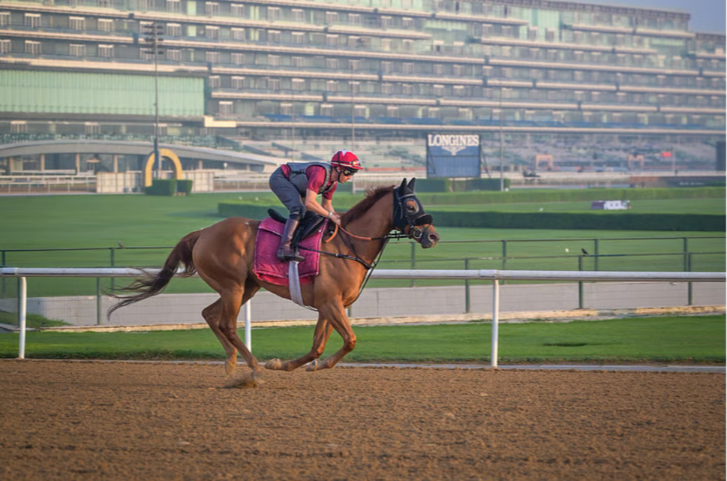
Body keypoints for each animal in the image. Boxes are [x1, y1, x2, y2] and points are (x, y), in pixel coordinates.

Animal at [109, 178, 439, 378]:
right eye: (411, 206)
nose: (433, 236)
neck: (347, 245)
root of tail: (202, 232)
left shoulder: (329, 305)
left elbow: (318, 345)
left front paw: (294, 364)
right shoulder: (331, 303)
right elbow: (350, 340)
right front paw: (290, 364)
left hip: (246, 287)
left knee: (209, 315)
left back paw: (231, 362)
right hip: (233, 285)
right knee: (227, 323)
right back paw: (253, 367)